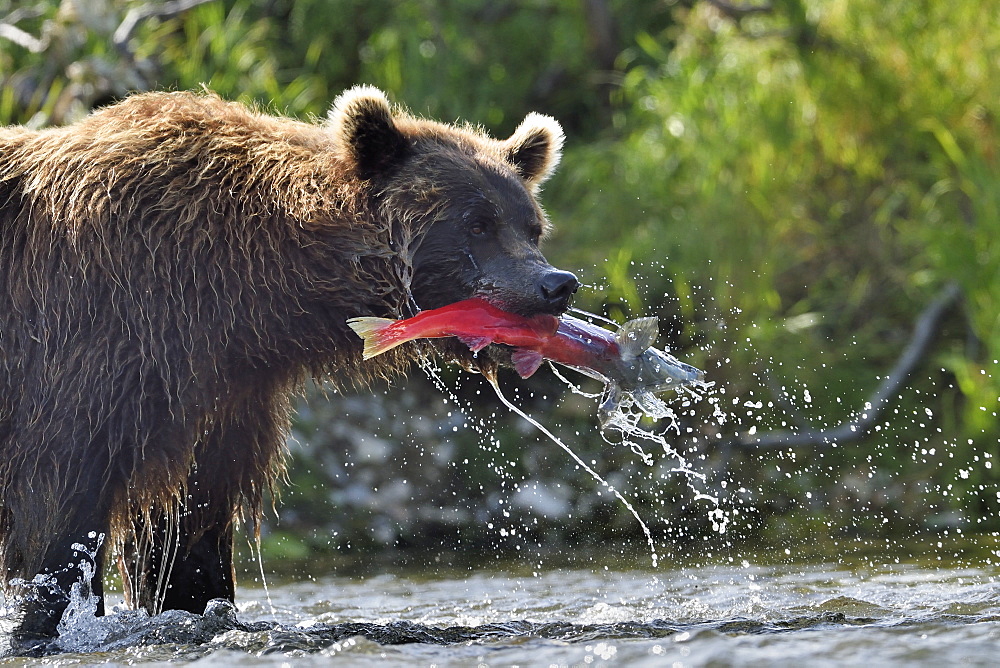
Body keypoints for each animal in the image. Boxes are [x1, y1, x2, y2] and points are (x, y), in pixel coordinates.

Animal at [0, 86, 580, 644]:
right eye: (476, 224)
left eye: (532, 226)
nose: (556, 285)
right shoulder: (95, 335)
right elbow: (62, 509)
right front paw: (48, 626)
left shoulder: (220, 398)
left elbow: (189, 527)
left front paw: (197, 607)